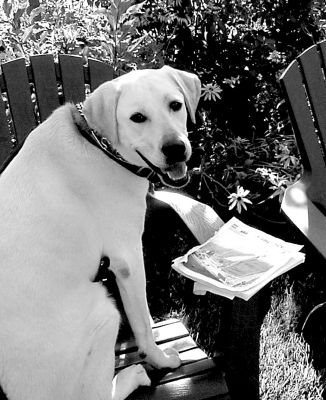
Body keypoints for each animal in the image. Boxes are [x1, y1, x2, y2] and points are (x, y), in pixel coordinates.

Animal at [0, 66, 200, 400]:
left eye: (175, 105)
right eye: (137, 118)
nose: (176, 149)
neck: (99, 144)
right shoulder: (128, 258)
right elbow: (142, 322)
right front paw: (160, 359)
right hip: (105, 313)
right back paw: (132, 376)